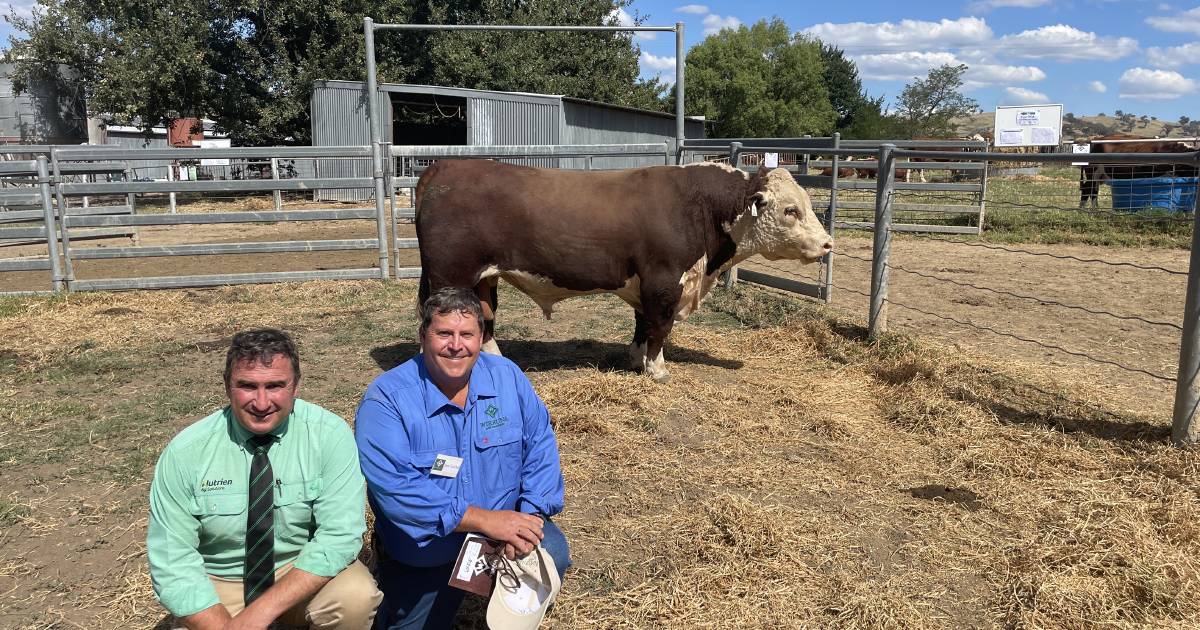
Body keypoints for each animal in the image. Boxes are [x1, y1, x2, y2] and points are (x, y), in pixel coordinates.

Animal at [415, 159, 835, 381]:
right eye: (790, 210)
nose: (828, 243)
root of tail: (445, 166)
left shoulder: (646, 284)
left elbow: (642, 323)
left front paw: (636, 359)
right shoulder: (664, 282)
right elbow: (660, 326)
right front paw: (657, 368)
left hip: (483, 279)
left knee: (485, 318)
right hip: (451, 276)